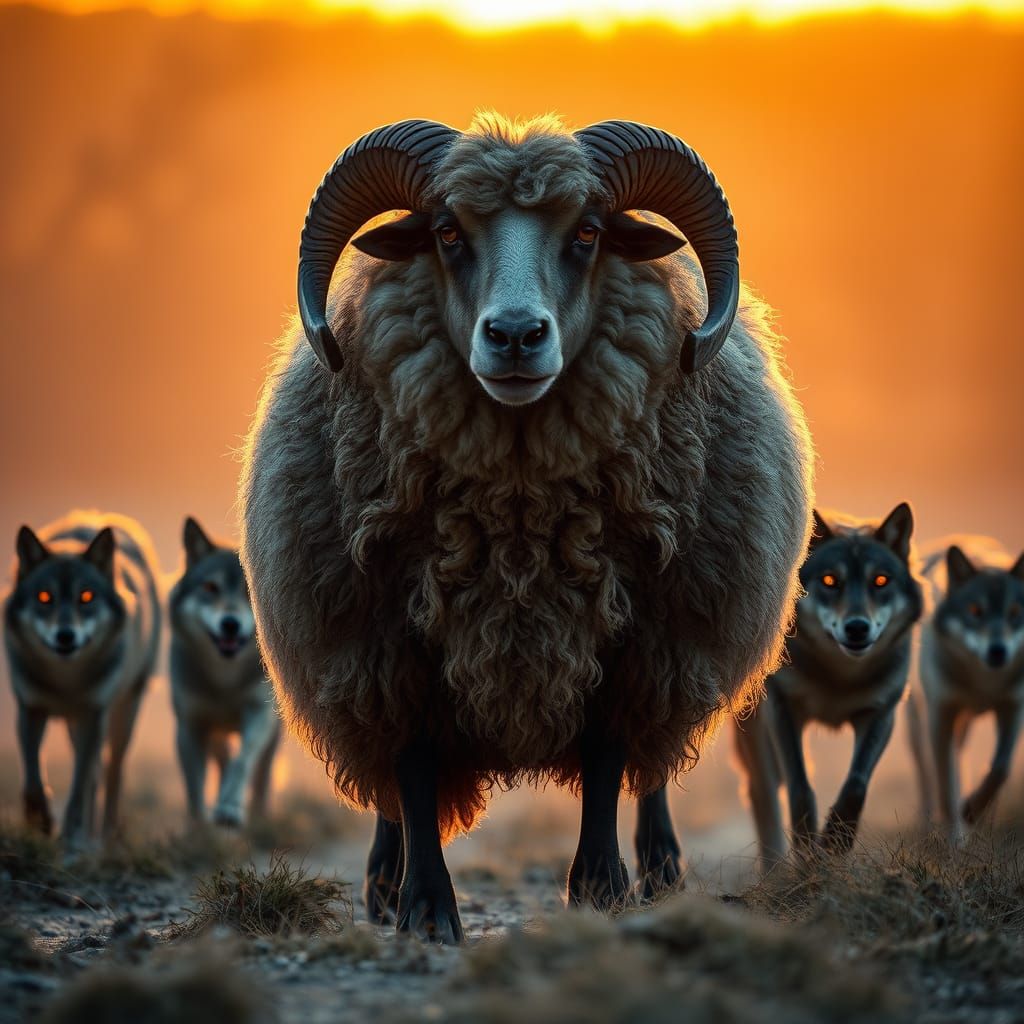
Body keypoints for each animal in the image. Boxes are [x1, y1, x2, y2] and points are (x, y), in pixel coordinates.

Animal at [4, 510, 162, 848]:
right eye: (45, 597)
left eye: (86, 596)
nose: (65, 636)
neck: (67, 682)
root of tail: (97, 517)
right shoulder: (30, 709)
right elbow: (33, 778)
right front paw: (40, 822)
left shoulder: (93, 713)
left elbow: (78, 787)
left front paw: (70, 834)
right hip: (76, 726)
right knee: (93, 772)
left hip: (122, 713)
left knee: (112, 772)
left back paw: (105, 835)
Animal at [169, 516, 279, 827]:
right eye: (210, 587)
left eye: (248, 591)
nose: (230, 624)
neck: (224, 680)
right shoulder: (190, 725)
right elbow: (195, 786)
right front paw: (197, 829)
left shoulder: (258, 714)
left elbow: (242, 762)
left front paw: (229, 809)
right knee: (223, 758)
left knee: (260, 773)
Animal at [240, 114, 814, 942]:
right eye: (446, 232)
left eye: (589, 233)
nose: (515, 335)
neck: (517, 531)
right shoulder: (385, 647)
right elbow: (412, 769)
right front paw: (423, 907)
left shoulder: (632, 639)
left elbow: (607, 760)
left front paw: (601, 889)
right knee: (386, 785)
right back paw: (381, 882)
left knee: (650, 771)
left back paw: (661, 869)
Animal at [734, 503, 922, 865]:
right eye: (830, 580)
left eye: (880, 580)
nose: (857, 627)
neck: (839, 677)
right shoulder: (783, 708)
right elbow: (799, 785)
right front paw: (807, 851)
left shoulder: (881, 714)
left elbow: (856, 784)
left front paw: (835, 841)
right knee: (763, 790)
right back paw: (774, 868)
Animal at [907, 537, 1024, 842]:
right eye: (974, 611)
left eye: (1014, 613)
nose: (998, 651)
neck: (982, 681)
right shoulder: (941, 717)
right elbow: (945, 787)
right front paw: (955, 839)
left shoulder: (1012, 708)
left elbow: (1000, 768)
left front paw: (972, 811)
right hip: (918, 725)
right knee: (927, 777)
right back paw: (929, 827)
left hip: (965, 724)